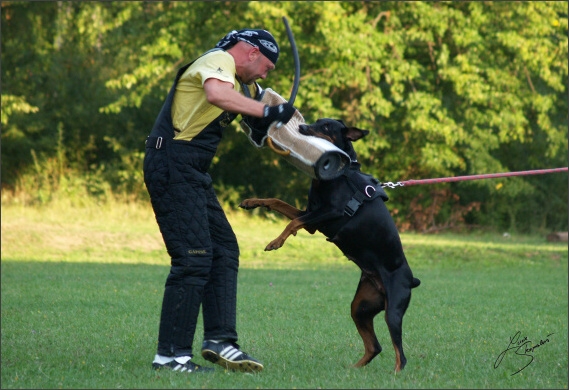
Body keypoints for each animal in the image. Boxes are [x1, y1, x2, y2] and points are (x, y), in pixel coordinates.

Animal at [237, 118, 420, 372]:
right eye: (315, 121)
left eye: (325, 127)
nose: (302, 127)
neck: (342, 175)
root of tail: (411, 279)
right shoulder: (312, 216)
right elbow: (277, 203)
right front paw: (251, 202)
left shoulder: (330, 212)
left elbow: (293, 222)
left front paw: (276, 241)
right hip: (361, 307)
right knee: (375, 347)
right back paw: (353, 369)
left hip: (393, 311)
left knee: (400, 355)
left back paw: (394, 374)